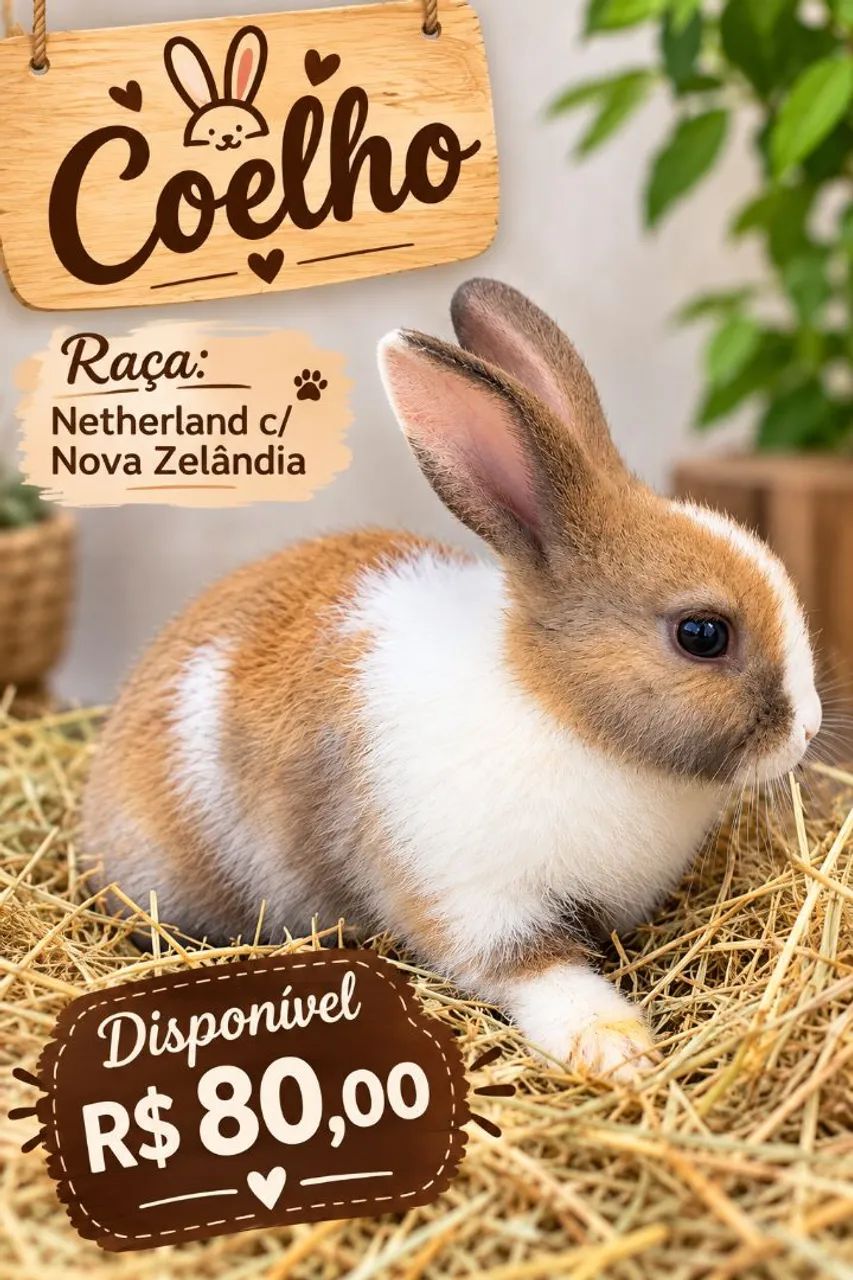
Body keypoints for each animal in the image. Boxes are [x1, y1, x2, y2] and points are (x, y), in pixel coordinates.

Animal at [83, 279, 822, 1080]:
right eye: (702, 634)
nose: (808, 726)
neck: (561, 712)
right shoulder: (472, 898)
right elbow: (536, 971)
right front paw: (617, 1050)